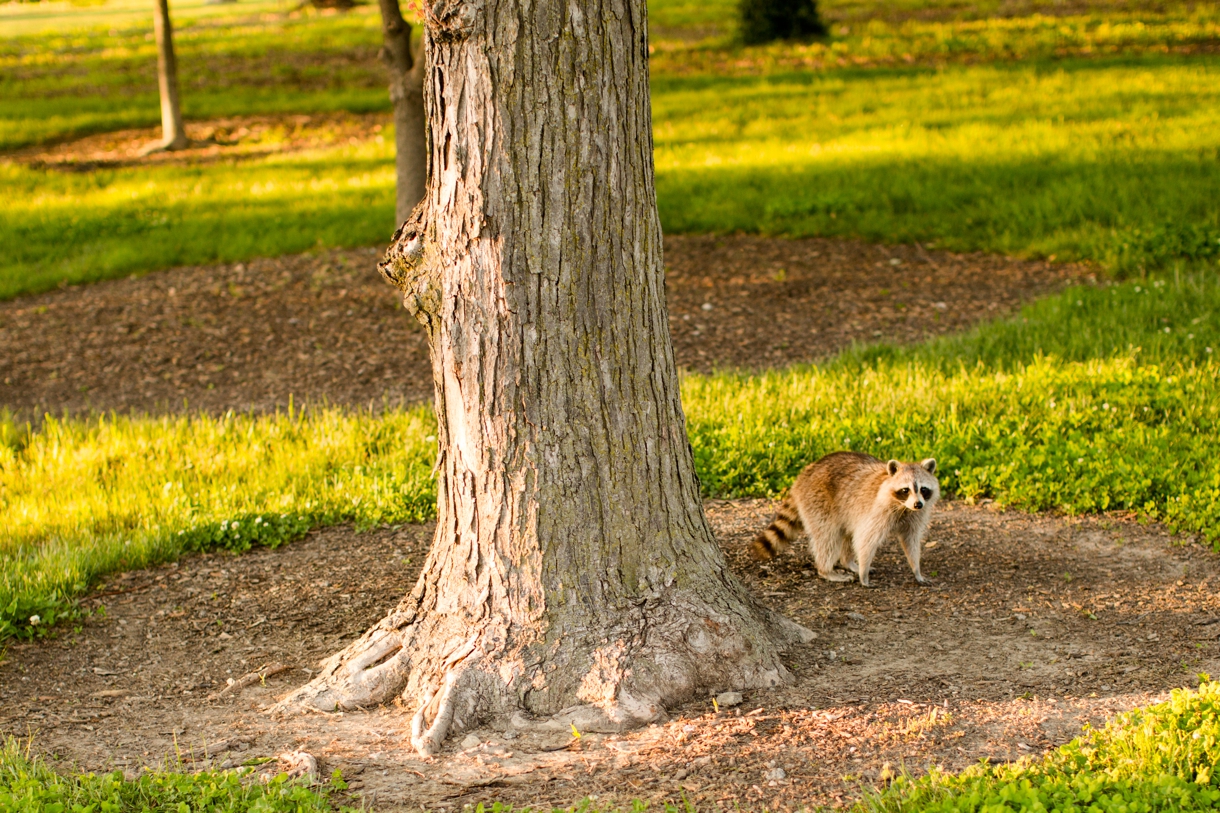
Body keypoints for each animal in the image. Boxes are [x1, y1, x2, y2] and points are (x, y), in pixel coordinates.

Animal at [746, 451, 936, 585]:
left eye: (923, 489)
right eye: (905, 490)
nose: (918, 504)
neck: (904, 507)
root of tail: (805, 473)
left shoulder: (916, 515)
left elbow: (910, 539)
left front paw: (916, 569)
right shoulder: (877, 511)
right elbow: (865, 539)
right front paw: (863, 574)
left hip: (843, 509)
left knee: (845, 532)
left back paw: (847, 562)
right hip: (818, 501)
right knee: (828, 537)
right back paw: (826, 570)